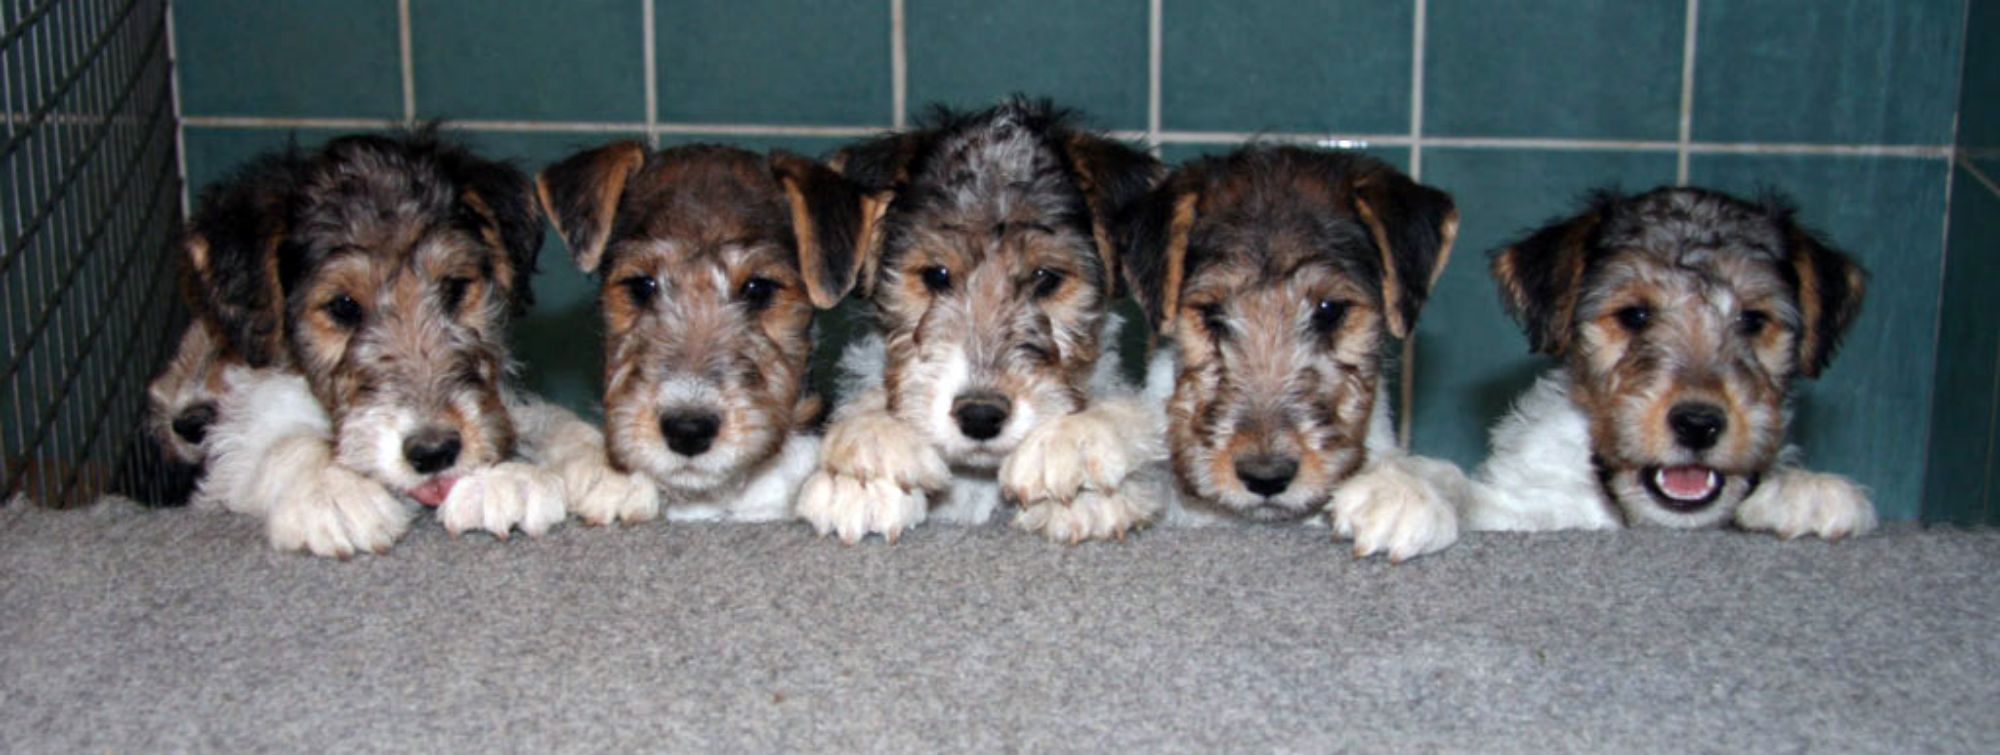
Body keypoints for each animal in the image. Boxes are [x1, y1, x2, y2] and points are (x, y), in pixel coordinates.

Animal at [181, 129, 607, 557]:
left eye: (454, 287)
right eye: (343, 306)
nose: (434, 452)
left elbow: (548, 421)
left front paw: (525, 475)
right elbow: (281, 443)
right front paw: (333, 491)